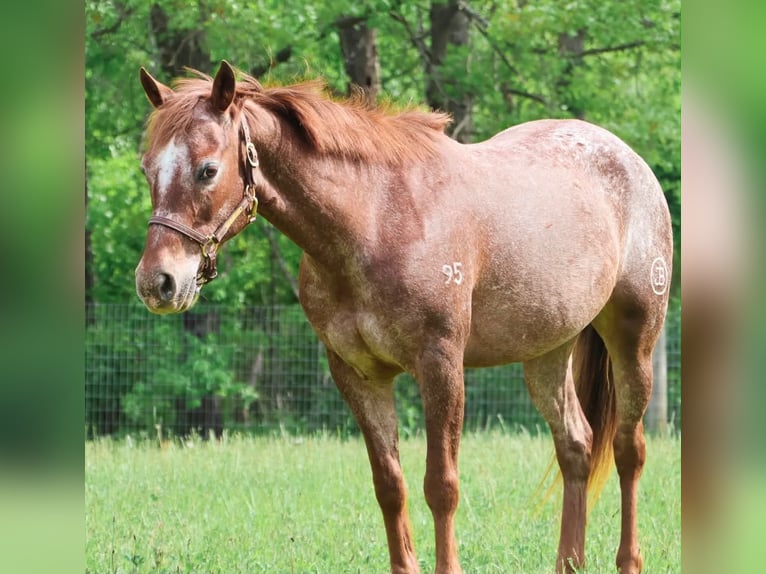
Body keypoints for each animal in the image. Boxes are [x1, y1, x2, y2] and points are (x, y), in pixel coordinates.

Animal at [135, 61, 672, 574]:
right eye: (146, 170)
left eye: (207, 170)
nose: (157, 282)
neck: (374, 220)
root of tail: (630, 160)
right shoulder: (358, 374)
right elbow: (389, 485)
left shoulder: (440, 366)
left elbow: (442, 485)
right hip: (547, 354)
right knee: (576, 447)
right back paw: (569, 563)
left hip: (635, 342)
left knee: (629, 451)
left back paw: (629, 560)